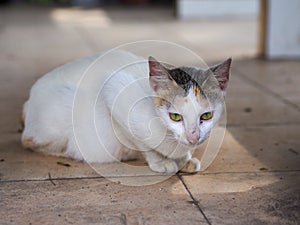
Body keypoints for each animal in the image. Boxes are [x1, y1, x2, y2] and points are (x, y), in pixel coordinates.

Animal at [21, 51, 232, 174]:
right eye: (175, 117)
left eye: (206, 116)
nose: (193, 137)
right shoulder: (113, 90)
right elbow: (142, 143)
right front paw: (161, 162)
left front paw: (185, 159)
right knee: (29, 141)